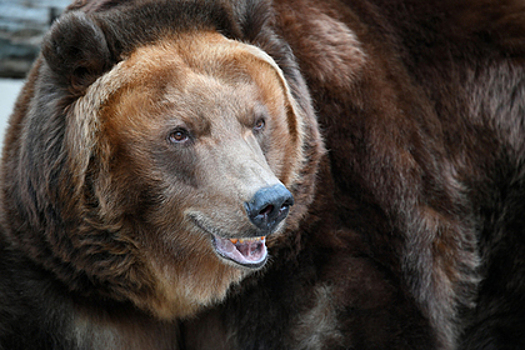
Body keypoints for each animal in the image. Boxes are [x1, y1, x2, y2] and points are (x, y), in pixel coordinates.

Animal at [0, 0, 520, 348]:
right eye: (180, 133)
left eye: (258, 121)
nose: (268, 203)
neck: (182, 289)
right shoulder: (70, 281)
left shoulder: (313, 259)